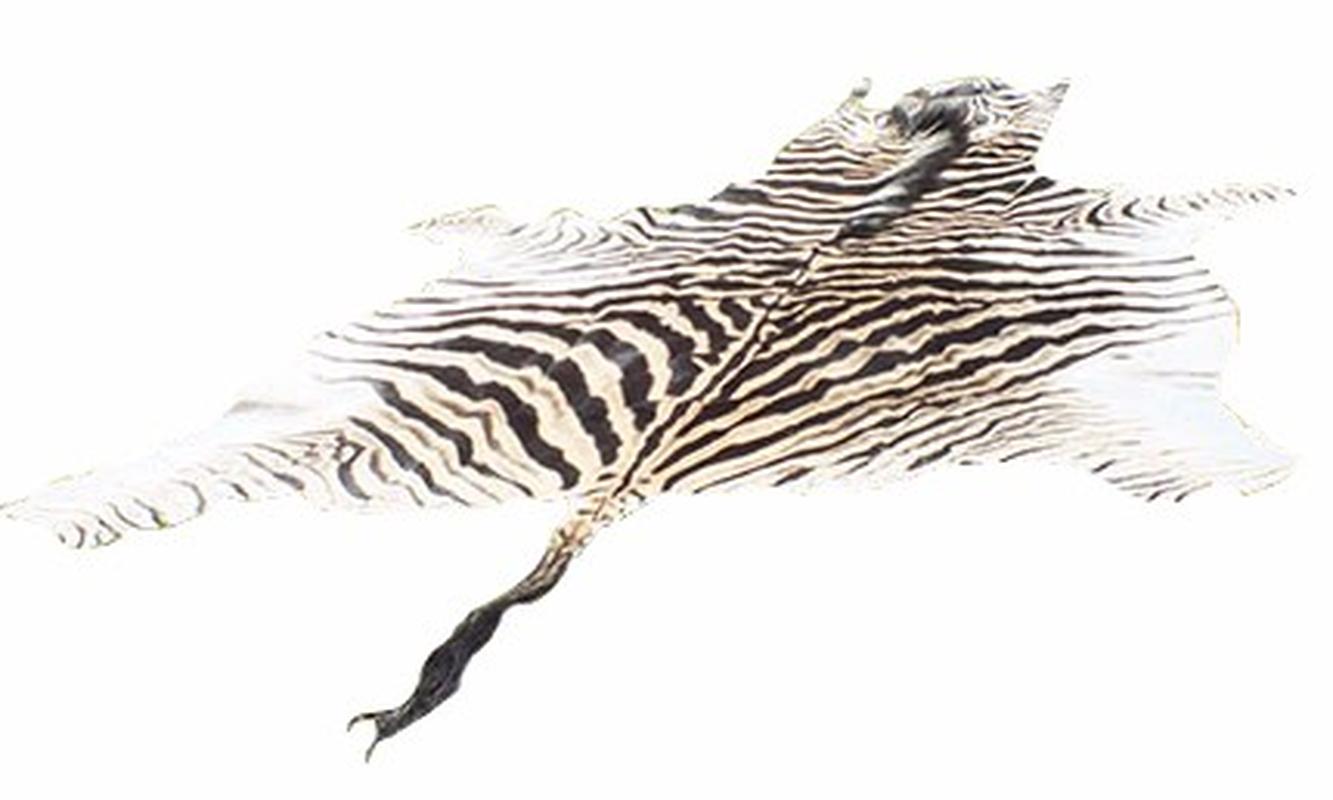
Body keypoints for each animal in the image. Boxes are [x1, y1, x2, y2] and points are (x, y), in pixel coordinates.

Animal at [1, 76, 1292, 759]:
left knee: (209, 466)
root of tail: (645, 454)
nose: (954, 88)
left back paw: (48, 511)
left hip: (382, 420)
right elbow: (1192, 195)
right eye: (934, 103)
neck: (909, 178)